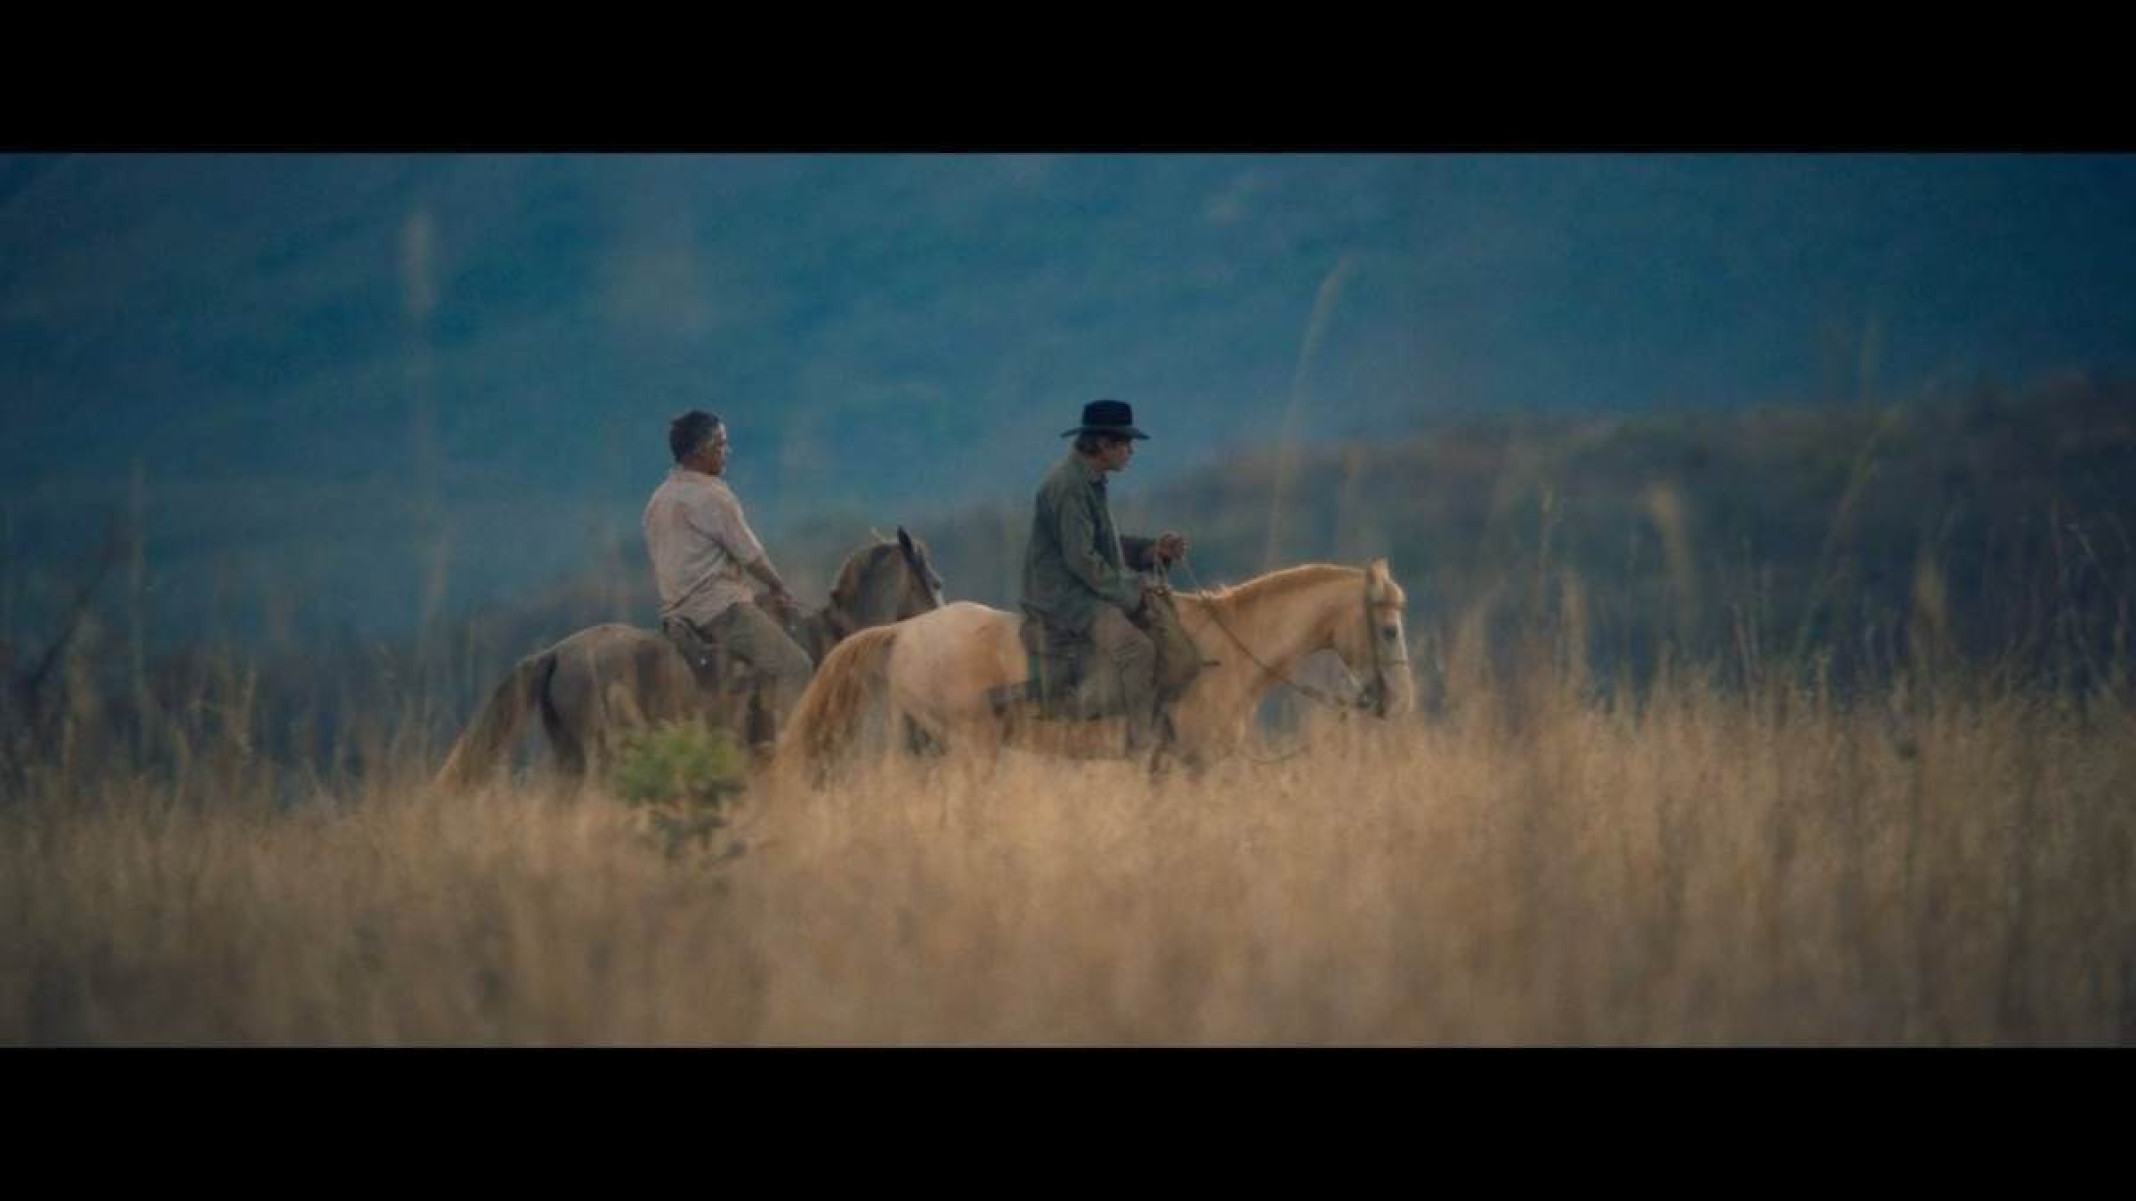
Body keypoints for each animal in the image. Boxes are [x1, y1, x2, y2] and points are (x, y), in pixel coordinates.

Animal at [786, 555, 1418, 769]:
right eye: (1389, 628)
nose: (1401, 702)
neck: (1228, 651)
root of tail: (904, 631)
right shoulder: (1198, 762)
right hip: (969, 749)